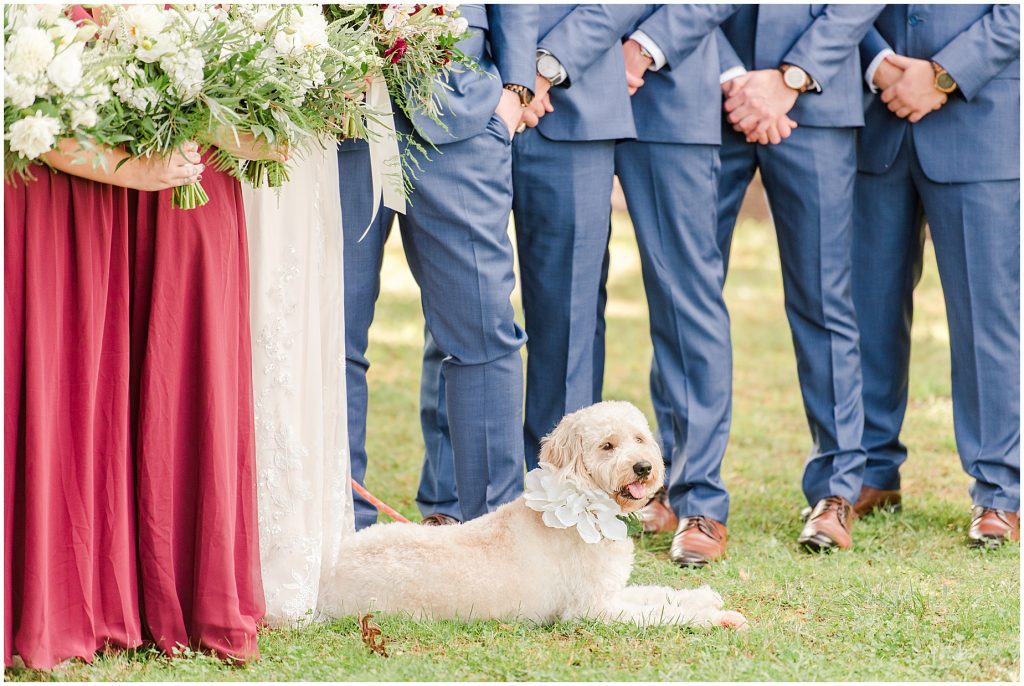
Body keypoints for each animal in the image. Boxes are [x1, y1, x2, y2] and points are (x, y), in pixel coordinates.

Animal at [323, 403, 749, 634]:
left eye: (639, 439)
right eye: (607, 446)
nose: (644, 468)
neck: (584, 503)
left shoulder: (609, 592)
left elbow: (655, 594)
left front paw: (701, 597)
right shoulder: (593, 609)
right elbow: (661, 613)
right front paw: (716, 617)